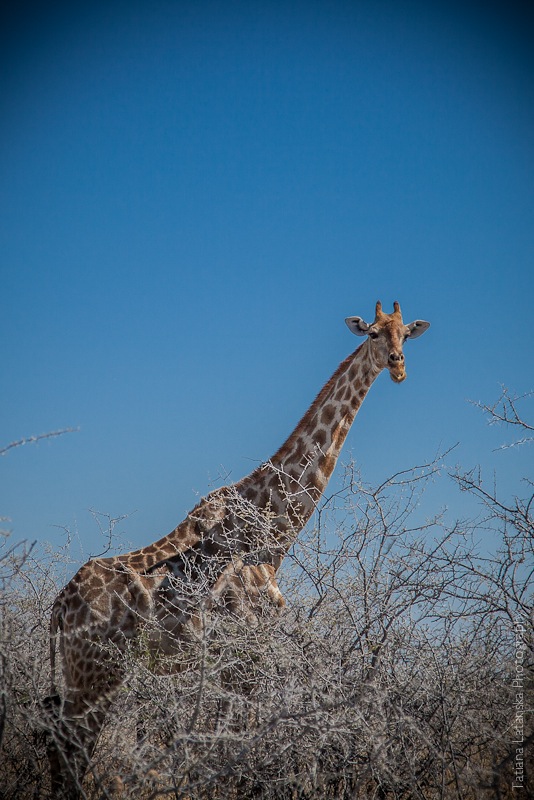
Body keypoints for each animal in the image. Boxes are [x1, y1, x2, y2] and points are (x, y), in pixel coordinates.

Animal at [46, 302, 432, 800]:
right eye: (372, 334)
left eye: (405, 333)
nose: (399, 366)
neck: (276, 532)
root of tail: (59, 608)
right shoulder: (246, 647)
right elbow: (238, 739)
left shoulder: (236, 656)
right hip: (96, 672)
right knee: (71, 744)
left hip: (83, 674)